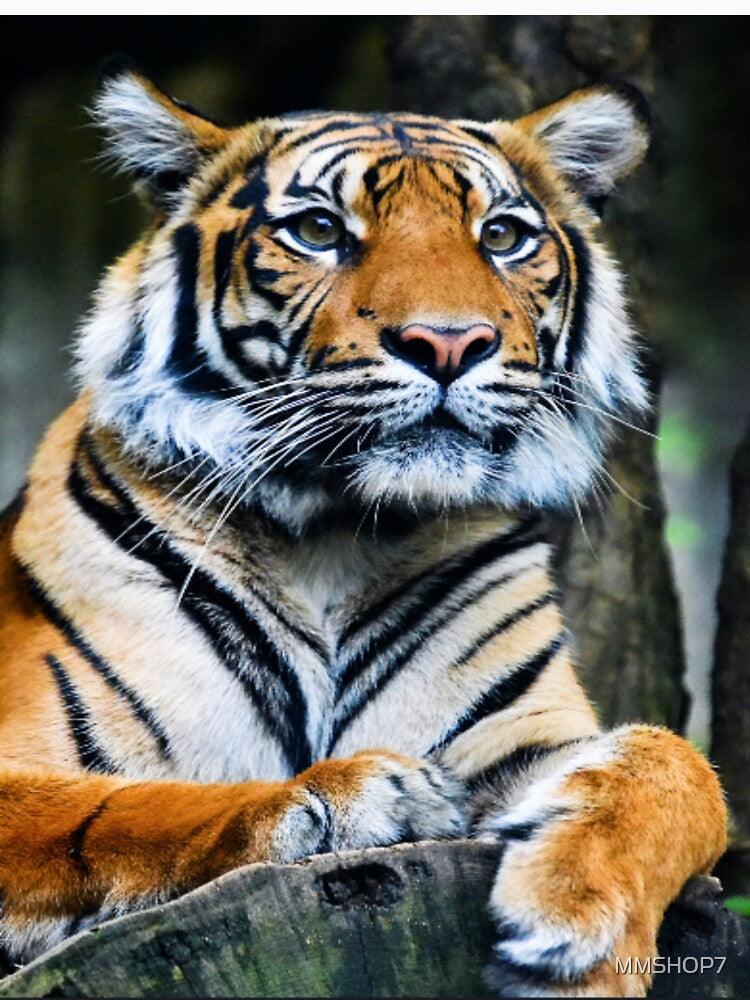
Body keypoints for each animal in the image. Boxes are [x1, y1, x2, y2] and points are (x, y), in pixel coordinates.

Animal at [0, 61, 727, 998]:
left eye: (502, 236)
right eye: (318, 230)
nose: (449, 344)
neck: (336, 536)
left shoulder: (525, 739)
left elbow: (678, 769)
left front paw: (581, 927)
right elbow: (122, 806)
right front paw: (351, 798)